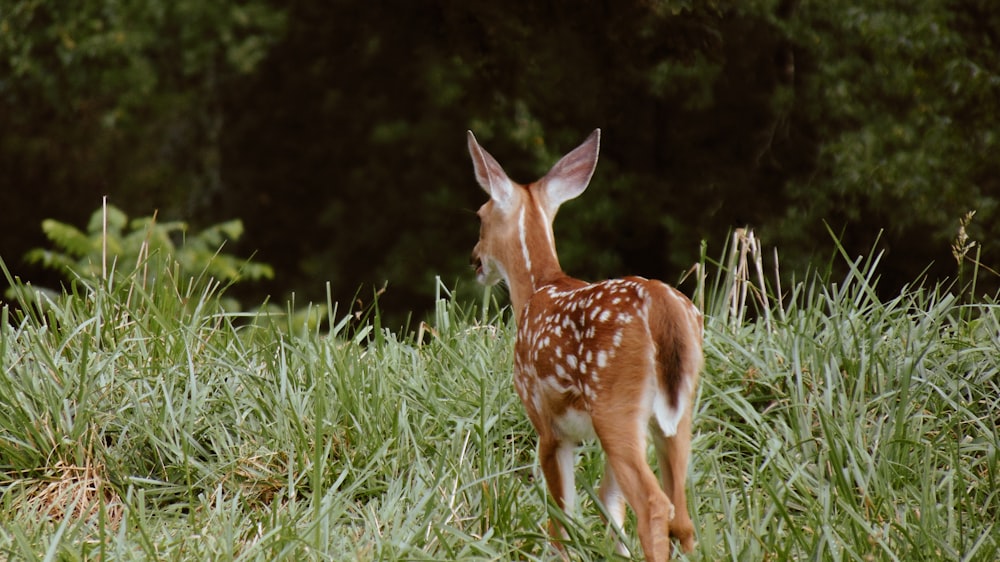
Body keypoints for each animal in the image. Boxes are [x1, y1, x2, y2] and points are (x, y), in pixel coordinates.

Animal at [468, 129, 704, 556]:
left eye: (480, 215)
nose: (474, 259)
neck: (538, 288)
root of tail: (662, 305)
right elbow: (611, 506)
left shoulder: (545, 421)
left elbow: (562, 516)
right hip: (677, 411)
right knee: (681, 516)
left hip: (613, 402)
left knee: (653, 503)